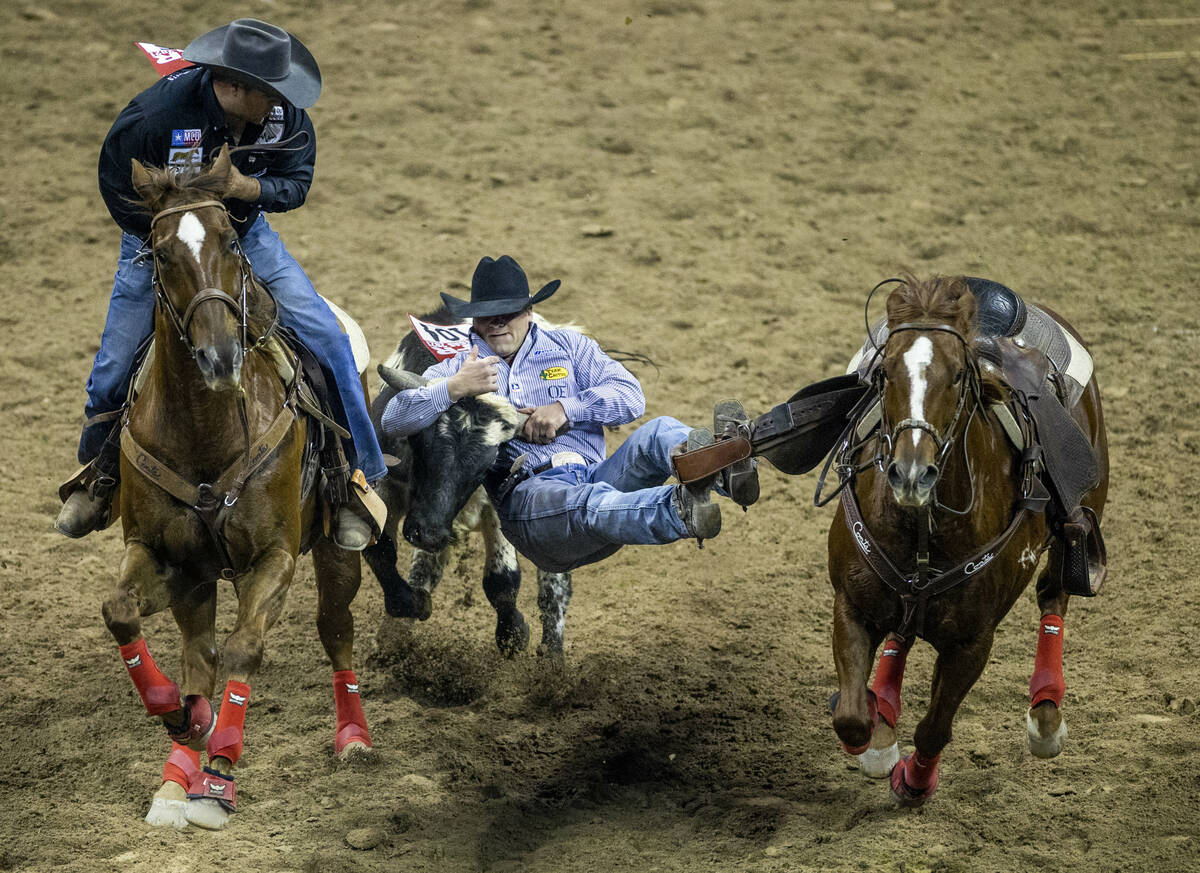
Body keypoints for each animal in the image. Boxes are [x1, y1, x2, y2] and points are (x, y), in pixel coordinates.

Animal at [91, 146, 376, 829]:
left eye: (230, 240)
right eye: (160, 253)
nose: (220, 356)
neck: (203, 428)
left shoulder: (273, 557)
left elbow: (247, 648)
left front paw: (220, 773)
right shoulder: (163, 554)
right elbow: (123, 614)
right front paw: (178, 717)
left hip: (335, 549)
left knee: (335, 629)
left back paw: (352, 739)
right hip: (197, 577)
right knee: (200, 654)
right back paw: (178, 769)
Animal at [676, 271, 1104, 805]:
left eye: (958, 375)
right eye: (884, 374)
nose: (911, 473)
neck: (923, 527)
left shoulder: (973, 642)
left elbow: (934, 729)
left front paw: (914, 781)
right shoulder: (851, 606)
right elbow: (852, 717)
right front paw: (877, 739)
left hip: (1079, 524)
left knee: (1054, 595)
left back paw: (1045, 718)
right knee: (902, 633)